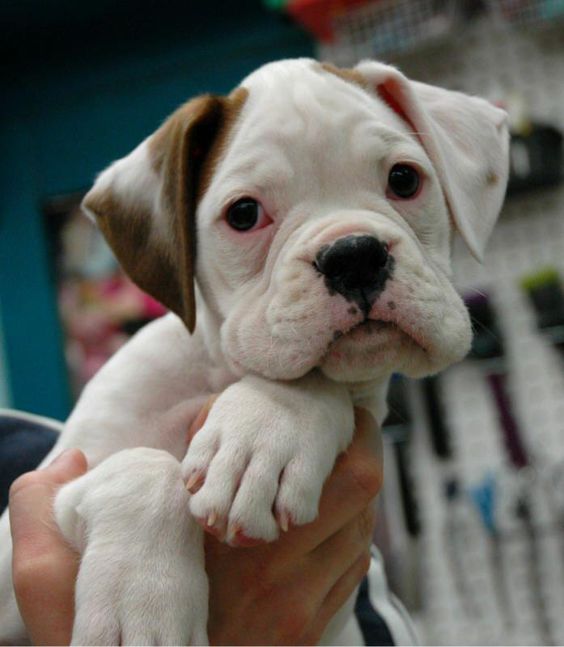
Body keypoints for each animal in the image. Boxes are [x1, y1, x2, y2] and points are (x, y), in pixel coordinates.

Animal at [0, 58, 508, 644]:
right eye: (244, 214)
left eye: (404, 179)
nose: (354, 255)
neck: (217, 372)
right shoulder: (17, 533)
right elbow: (142, 465)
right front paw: (142, 598)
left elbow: (314, 380)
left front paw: (267, 430)